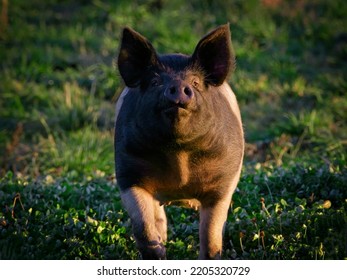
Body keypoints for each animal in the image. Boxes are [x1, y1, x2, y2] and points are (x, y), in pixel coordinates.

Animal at [115, 24, 245, 260]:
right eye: (155, 82)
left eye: (195, 82)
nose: (177, 85)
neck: (178, 153)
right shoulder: (128, 174)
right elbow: (143, 228)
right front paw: (158, 252)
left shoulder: (223, 184)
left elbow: (211, 238)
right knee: (158, 217)